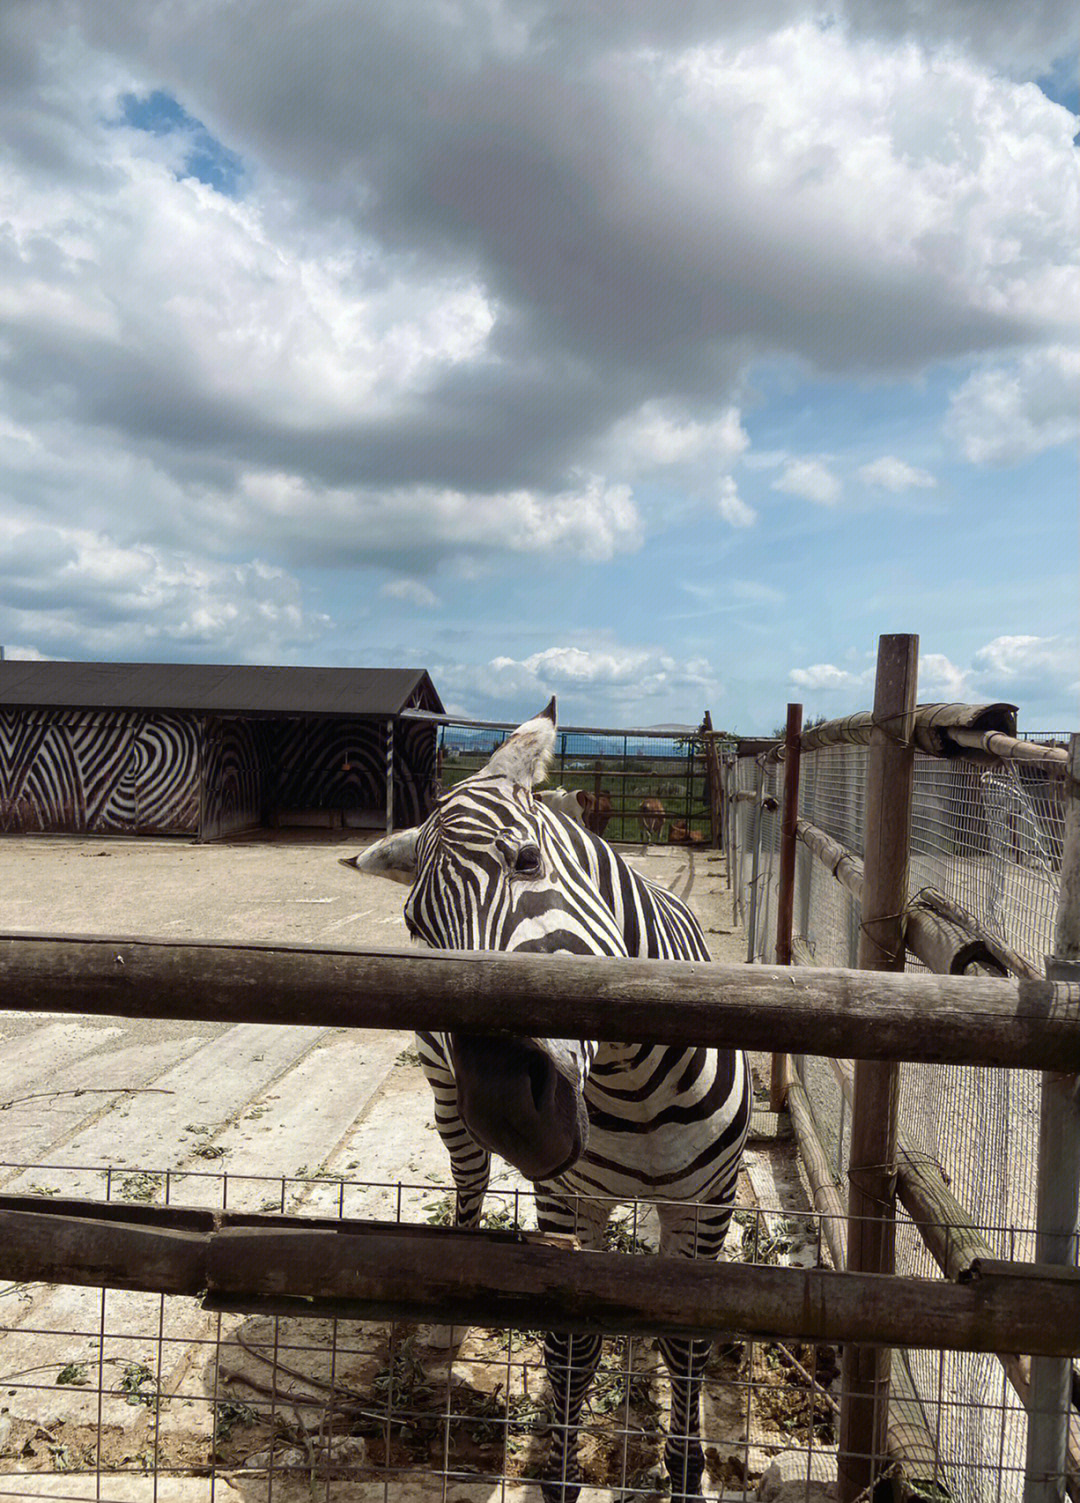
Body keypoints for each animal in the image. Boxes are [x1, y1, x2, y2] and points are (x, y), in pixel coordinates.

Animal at [348, 697, 751, 1496]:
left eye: (527, 862)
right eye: (415, 927)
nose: (511, 1112)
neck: (633, 1080)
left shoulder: (709, 1199)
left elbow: (683, 1339)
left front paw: (685, 1470)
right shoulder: (568, 1200)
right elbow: (572, 1346)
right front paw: (560, 1473)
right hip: (447, 1095)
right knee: (469, 1182)